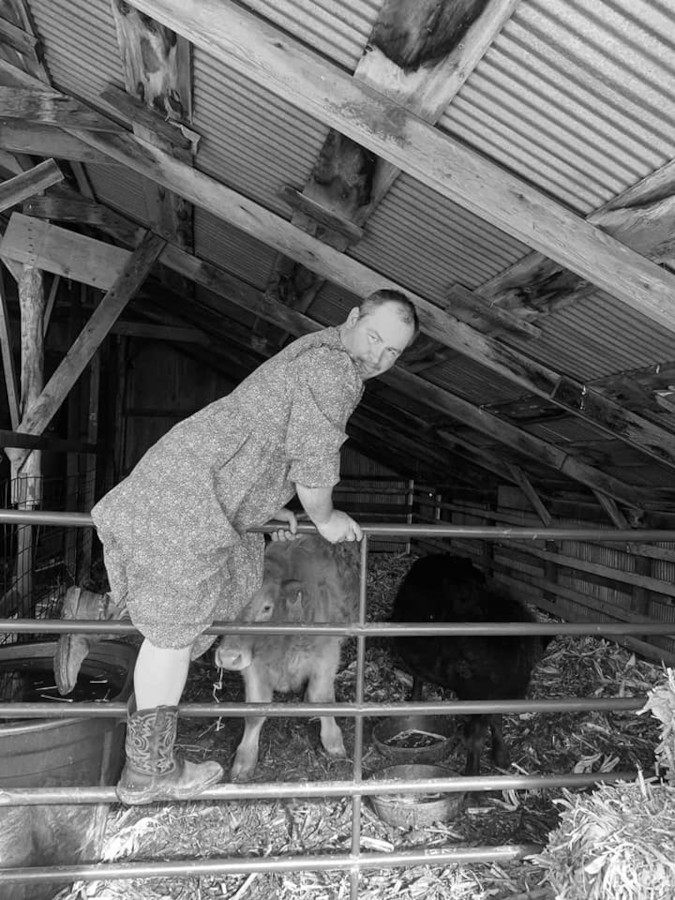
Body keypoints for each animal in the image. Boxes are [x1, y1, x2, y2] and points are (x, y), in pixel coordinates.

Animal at [219, 536, 362, 780]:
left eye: (266, 607)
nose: (228, 657)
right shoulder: (254, 667)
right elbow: (254, 712)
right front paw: (244, 760)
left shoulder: (326, 655)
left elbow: (322, 698)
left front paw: (333, 742)